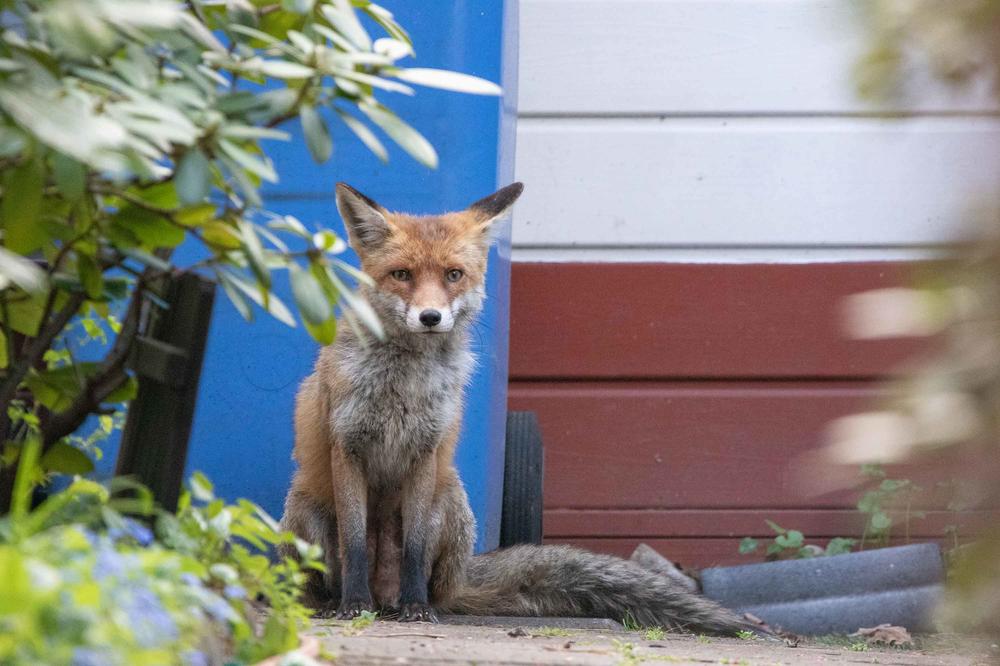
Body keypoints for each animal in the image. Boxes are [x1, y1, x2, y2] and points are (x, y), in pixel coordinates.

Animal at [278, 182, 752, 632]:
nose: (430, 317)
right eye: (402, 274)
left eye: (453, 275)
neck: (404, 385)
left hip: (449, 502)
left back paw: (410, 604)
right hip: (306, 513)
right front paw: (352, 606)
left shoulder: (425, 453)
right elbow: (355, 543)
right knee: (320, 582)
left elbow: (412, 548)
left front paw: (416, 608)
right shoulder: (348, 447)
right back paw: (338, 603)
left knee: (433, 587)